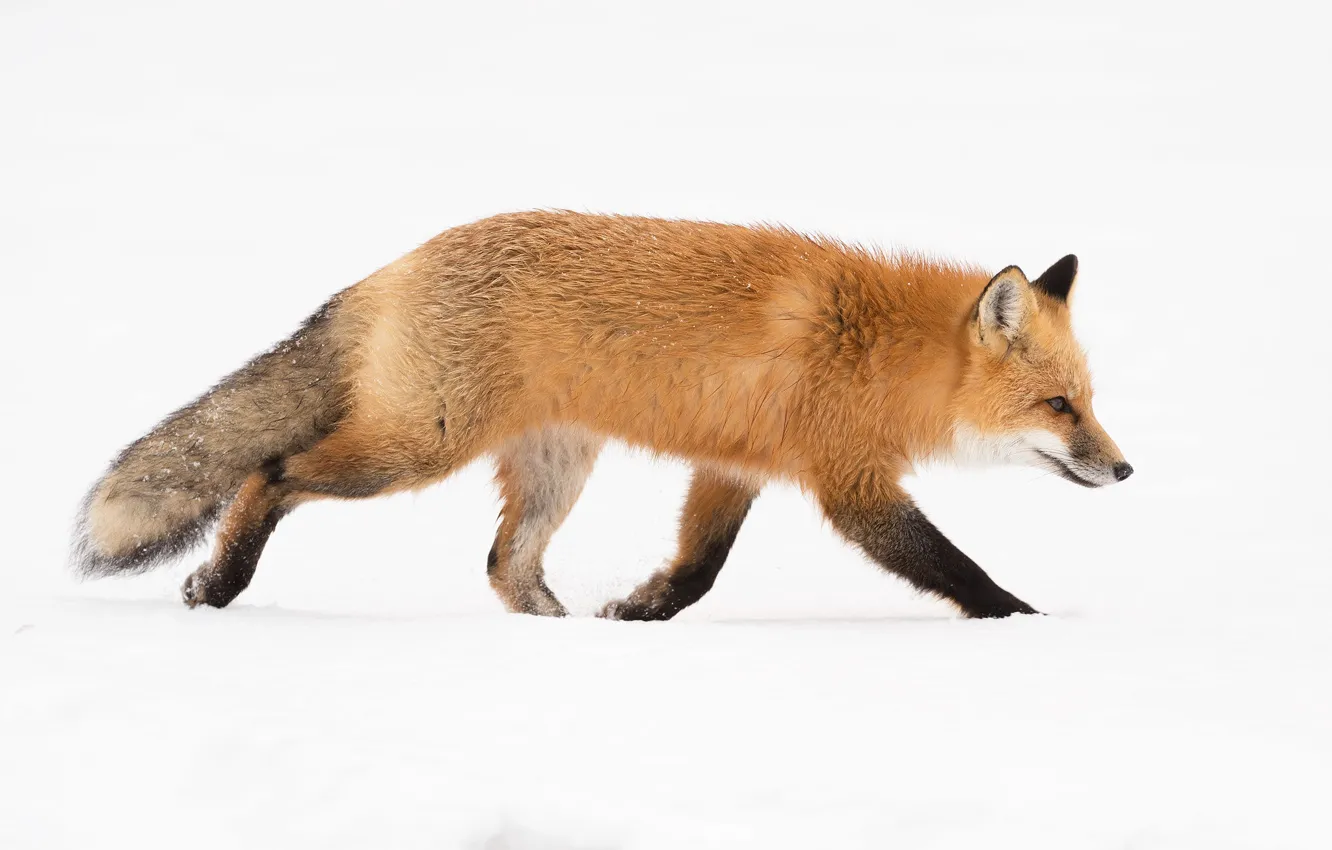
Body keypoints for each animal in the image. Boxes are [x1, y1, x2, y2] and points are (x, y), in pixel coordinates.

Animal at [73, 211, 1132, 619]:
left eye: (1090, 403)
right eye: (1059, 405)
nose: (1125, 471)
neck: (879, 349)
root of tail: (399, 263)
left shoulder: (738, 468)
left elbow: (699, 571)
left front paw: (637, 615)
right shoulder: (850, 482)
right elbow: (956, 568)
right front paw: (1028, 626)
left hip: (555, 468)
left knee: (505, 567)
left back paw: (565, 636)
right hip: (416, 449)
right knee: (270, 473)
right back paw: (219, 585)